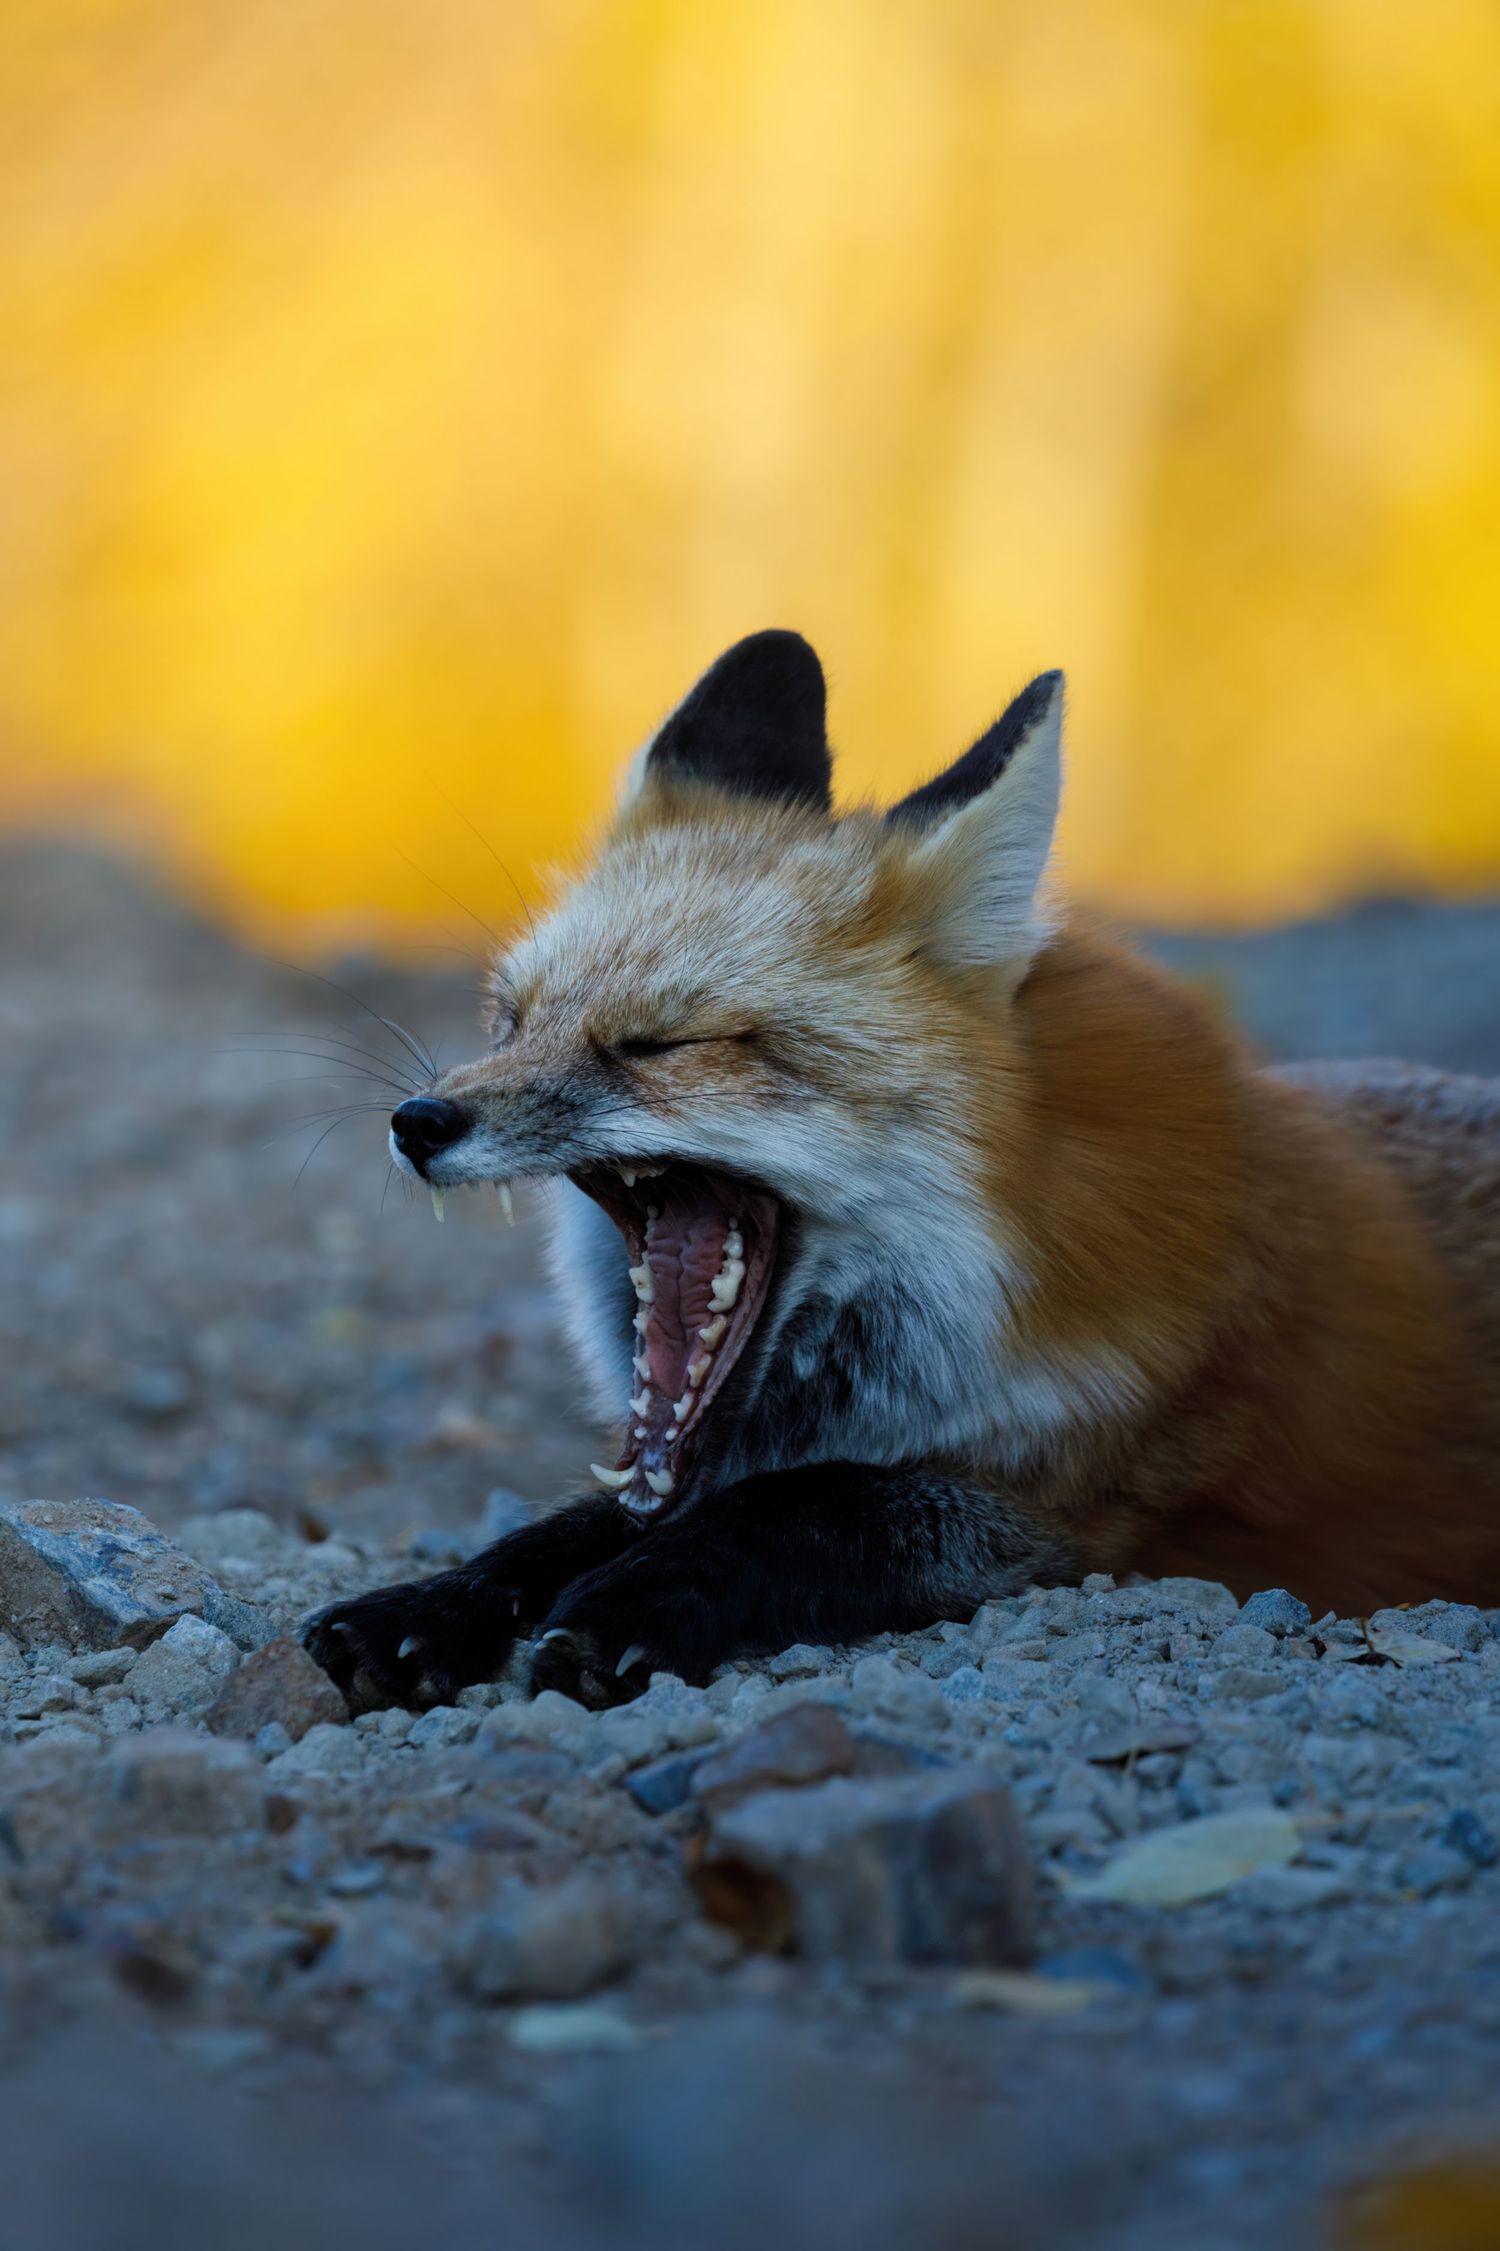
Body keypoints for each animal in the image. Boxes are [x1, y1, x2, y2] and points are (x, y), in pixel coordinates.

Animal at [306, 629, 1500, 1712]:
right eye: (509, 1020)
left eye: (657, 1045)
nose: (418, 1120)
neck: (1007, 1269)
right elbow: (562, 1526)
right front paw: (431, 1603)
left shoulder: (1079, 1513)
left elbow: (809, 1505)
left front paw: (627, 1605)